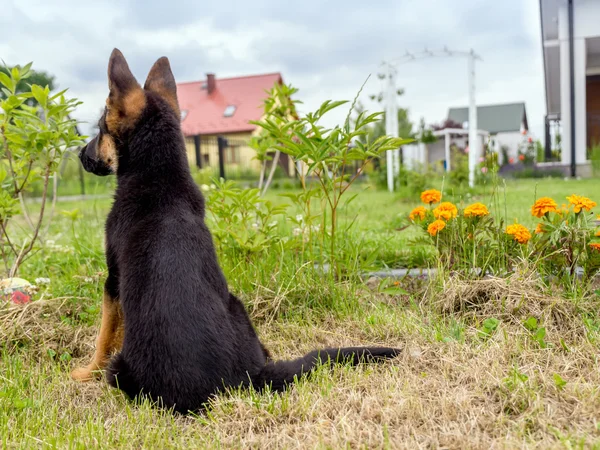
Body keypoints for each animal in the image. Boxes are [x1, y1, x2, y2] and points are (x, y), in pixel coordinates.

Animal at [72, 48, 400, 412]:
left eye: (100, 129)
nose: (79, 154)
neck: (160, 176)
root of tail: (245, 378)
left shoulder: (112, 280)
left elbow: (104, 335)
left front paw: (86, 372)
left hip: (136, 361)